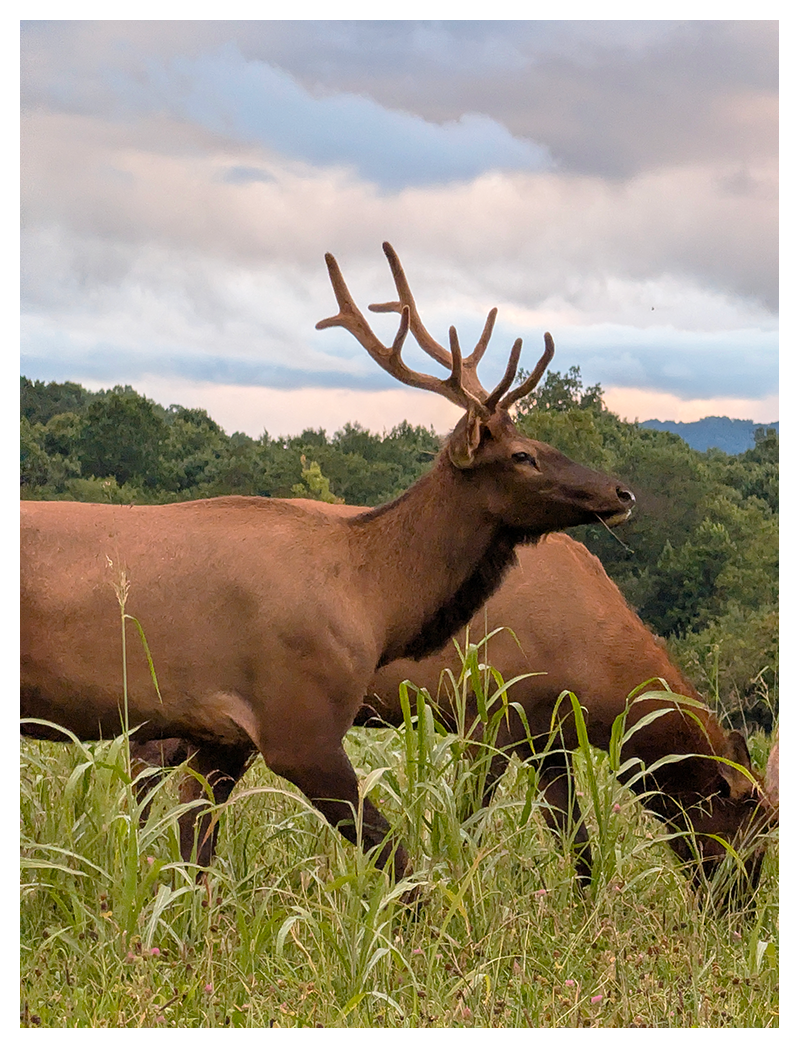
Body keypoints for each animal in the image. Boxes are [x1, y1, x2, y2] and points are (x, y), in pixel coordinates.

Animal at [21, 242, 634, 886]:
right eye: (522, 455)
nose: (620, 493)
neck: (374, 601)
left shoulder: (223, 736)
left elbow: (194, 865)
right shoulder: (300, 725)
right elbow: (398, 861)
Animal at [131, 526, 778, 900]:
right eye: (748, 835)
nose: (740, 910)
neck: (599, 686)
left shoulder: (550, 744)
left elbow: (577, 843)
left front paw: (585, 907)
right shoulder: (484, 721)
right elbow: (465, 822)